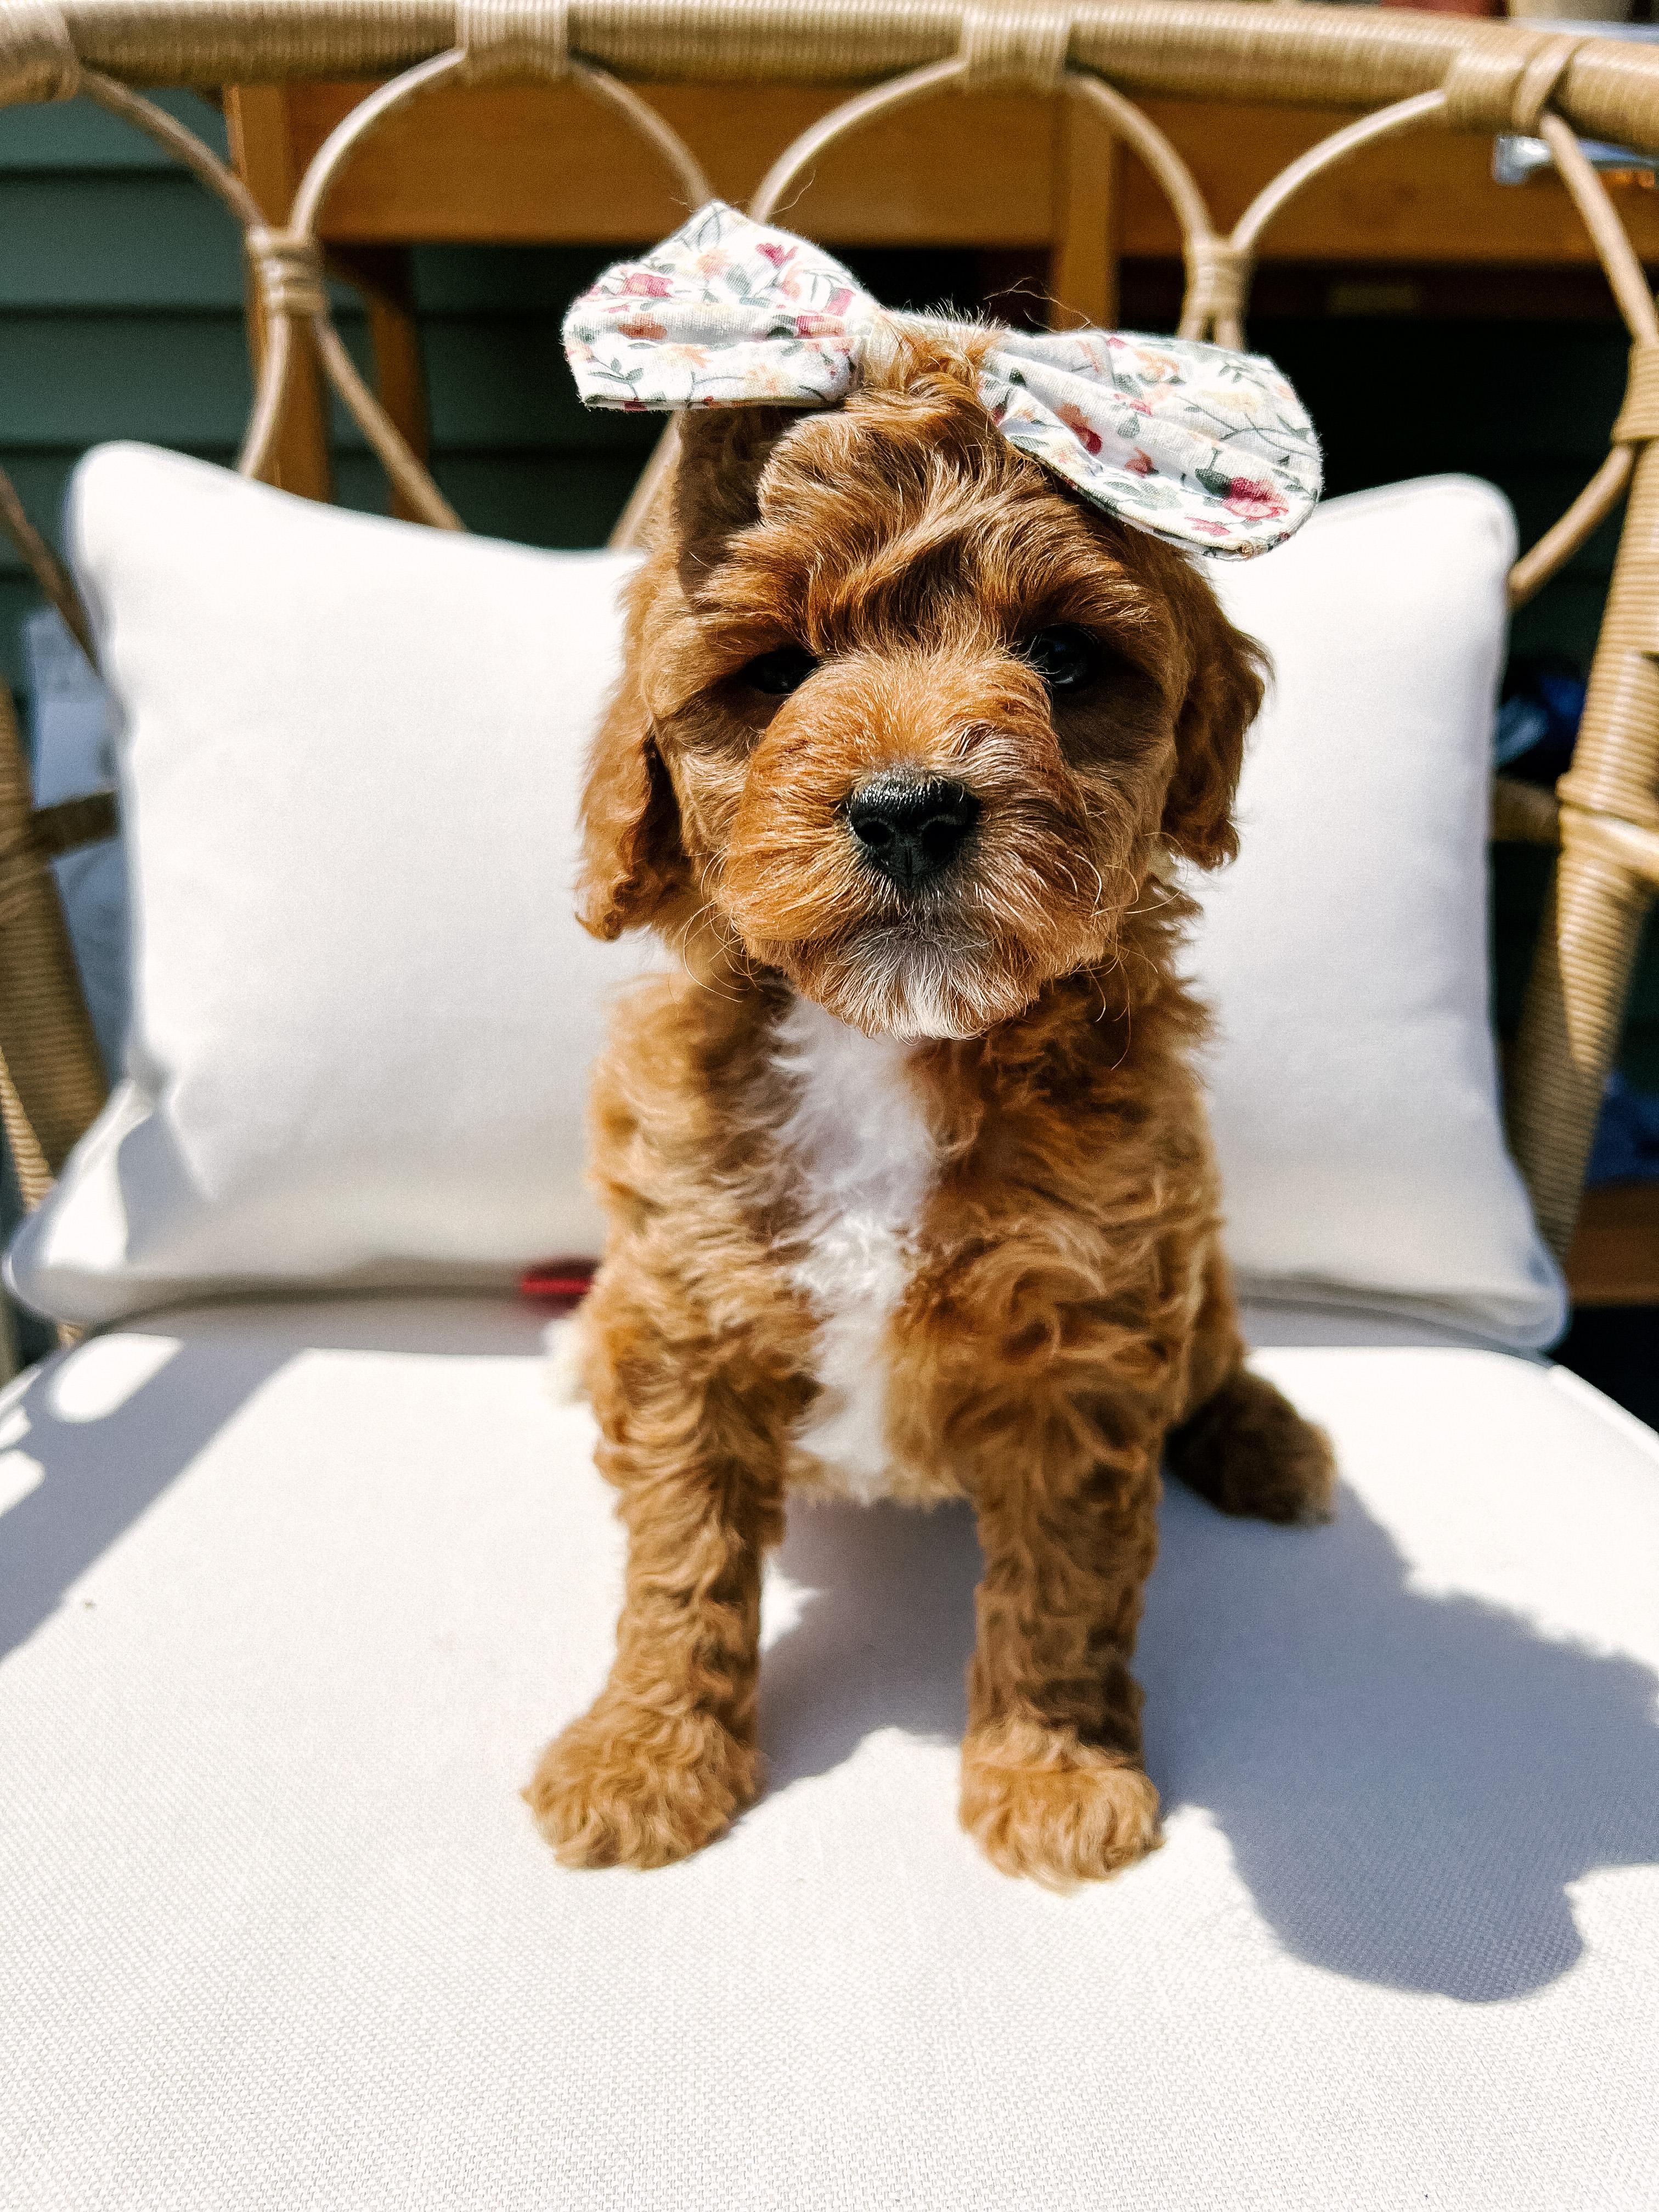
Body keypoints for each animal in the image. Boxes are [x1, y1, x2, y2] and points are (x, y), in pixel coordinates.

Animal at [527, 263, 1335, 1888]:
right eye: (774, 674)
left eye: (1064, 661)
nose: (909, 810)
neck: (888, 1046)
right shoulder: (686, 1316)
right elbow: (681, 1565)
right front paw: (645, 1757)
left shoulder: (1090, 1335)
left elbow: (1067, 1581)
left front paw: (1054, 1774)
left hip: (1196, 1267)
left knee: (1220, 1358)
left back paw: (1268, 1444)